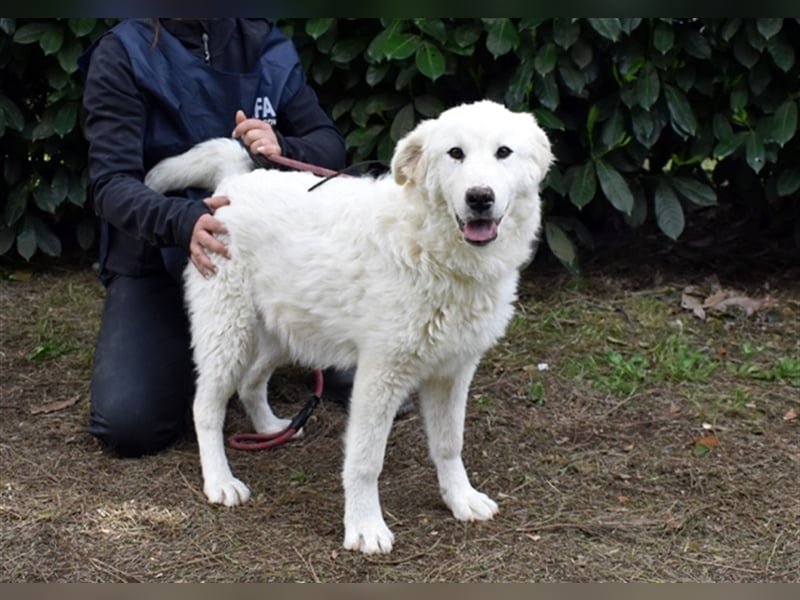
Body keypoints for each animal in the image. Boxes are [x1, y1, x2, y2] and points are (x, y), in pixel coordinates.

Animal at [145, 99, 552, 552]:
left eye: (503, 152)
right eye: (455, 153)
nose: (479, 198)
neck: (437, 254)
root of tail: (235, 182)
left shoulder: (453, 371)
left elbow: (449, 444)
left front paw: (460, 499)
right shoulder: (380, 374)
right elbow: (364, 460)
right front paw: (364, 527)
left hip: (282, 331)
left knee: (251, 382)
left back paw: (270, 428)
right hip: (228, 334)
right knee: (206, 407)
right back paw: (220, 481)